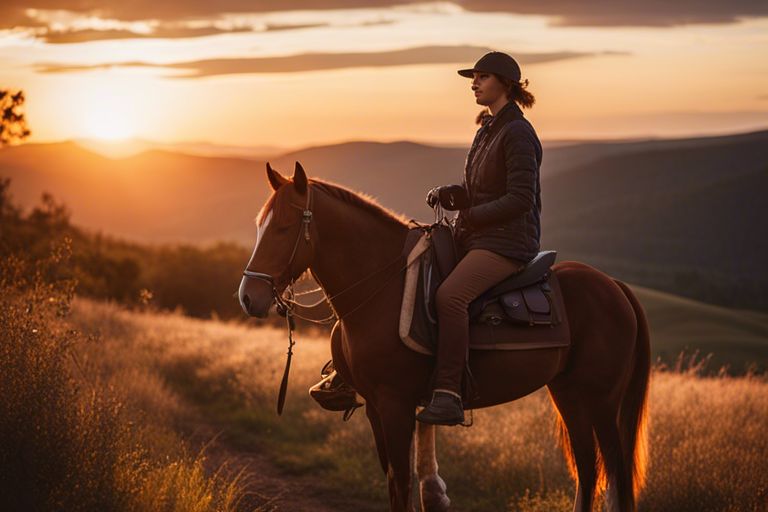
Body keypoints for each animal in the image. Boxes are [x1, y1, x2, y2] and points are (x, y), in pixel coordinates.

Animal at [238, 162, 648, 512]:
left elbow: (402, 483)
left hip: (601, 400)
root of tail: (614, 286)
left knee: (614, 468)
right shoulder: (375, 407)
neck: (382, 285)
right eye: (259, 225)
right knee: (588, 467)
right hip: (569, 392)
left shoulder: (396, 403)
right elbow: (395, 480)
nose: (248, 297)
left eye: (284, 227)